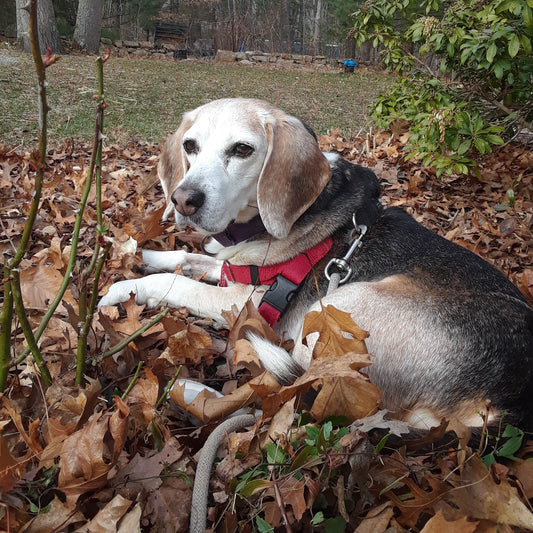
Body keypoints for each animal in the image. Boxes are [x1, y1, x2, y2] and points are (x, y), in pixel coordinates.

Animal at [101, 97, 532, 432]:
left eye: (242, 150)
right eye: (190, 146)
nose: (183, 200)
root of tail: (502, 403)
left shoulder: (245, 299)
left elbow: (177, 283)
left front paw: (121, 289)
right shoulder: (230, 271)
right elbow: (189, 258)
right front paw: (139, 256)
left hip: (337, 310)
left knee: (288, 391)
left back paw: (194, 393)